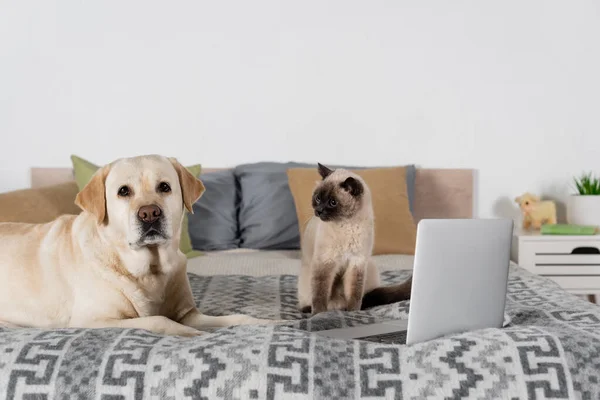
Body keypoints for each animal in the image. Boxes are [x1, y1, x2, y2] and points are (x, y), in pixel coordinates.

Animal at [0, 155, 270, 336]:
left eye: (164, 187)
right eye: (123, 191)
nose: (149, 213)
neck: (150, 270)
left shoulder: (189, 313)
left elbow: (236, 317)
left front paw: (271, 323)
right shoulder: (93, 319)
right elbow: (159, 320)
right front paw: (194, 334)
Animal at [296, 164, 410, 314]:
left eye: (333, 202)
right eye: (318, 199)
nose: (319, 211)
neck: (347, 225)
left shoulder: (356, 263)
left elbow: (354, 293)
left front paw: (353, 312)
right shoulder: (325, 262)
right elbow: (320, 292)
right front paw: (319, 314)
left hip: (370, 266)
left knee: (365, 298)